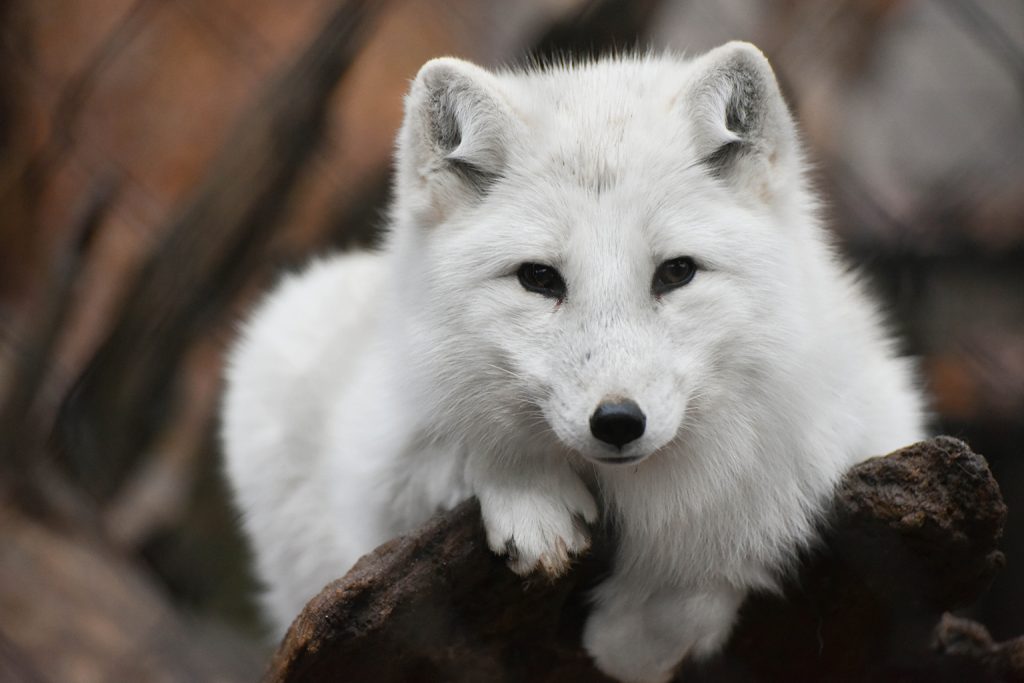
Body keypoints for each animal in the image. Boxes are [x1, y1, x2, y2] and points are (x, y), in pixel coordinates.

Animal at [224, 42, 929, 683]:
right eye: (539, 278)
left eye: (676, 272)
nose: (617, 422)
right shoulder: (372, 468)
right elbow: (461, 441)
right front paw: (530, 492)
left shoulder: (858, 429)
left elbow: (725, 538)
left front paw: (635, 639)